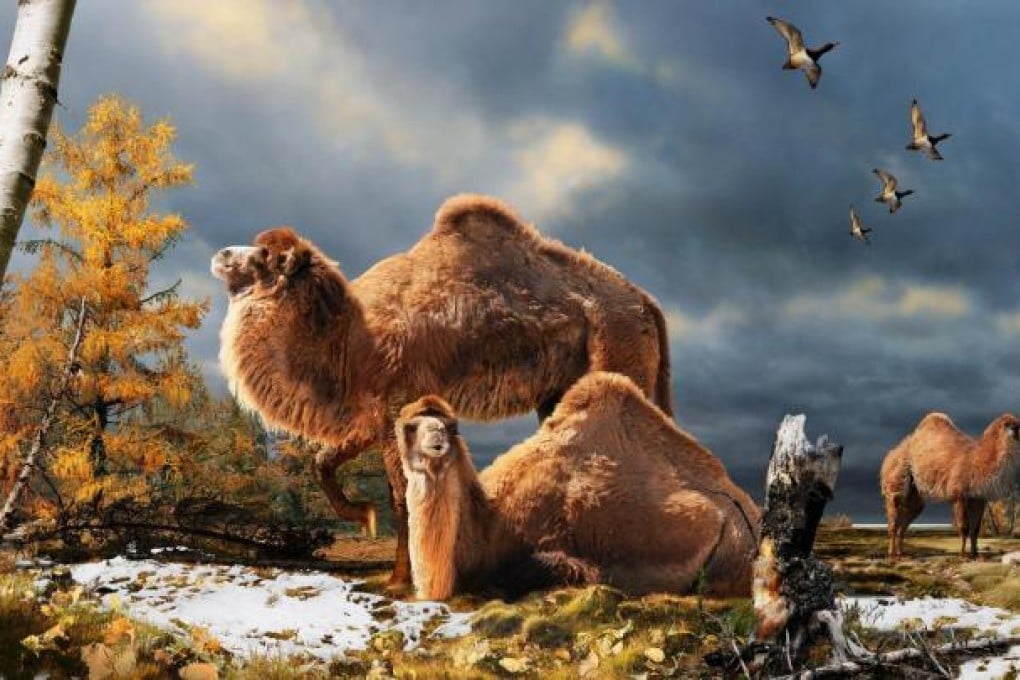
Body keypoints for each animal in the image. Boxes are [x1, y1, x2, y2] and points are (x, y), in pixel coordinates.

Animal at [211, 194, 673, 590]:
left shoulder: (397, 400)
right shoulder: (374, 415)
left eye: (264, 257)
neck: (351, 342)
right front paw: (365, 517)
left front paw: (401, 581)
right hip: (560, 390)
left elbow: (402, 494)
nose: (221, 255)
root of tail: (648, 304)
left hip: (618, 354)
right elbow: (324, 463)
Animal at [880, 412, 1020, 560]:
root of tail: (891, 454)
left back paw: (901, 553)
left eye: (1018, 424)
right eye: (1008, 425)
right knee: (894, 518)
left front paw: (975, 554)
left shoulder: (978, 498)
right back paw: (892, 554)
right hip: (896, 480)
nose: (1016, 431)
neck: (978, 460)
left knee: (906, 520)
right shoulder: (959, 494)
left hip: (914, 493)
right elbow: (964, 527)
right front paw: (963, 555)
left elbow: (975, 529)